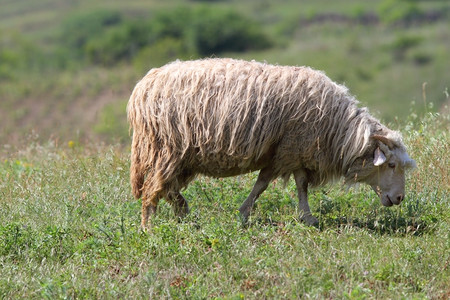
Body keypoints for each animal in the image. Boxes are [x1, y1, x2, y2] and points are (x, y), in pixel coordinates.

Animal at [125, 57, 414, 229]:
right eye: (390, 165)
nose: (399, 198)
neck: (337, 128)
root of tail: (143, 86)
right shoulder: (287, 150)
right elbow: (265, 184)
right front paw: (244, 213)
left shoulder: (296, 152)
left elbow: (299, 186)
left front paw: (306, 216)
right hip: (166, 148)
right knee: (154, 188)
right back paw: (149, 226)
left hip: (183, 155)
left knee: (168, 186)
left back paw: (183, 213)